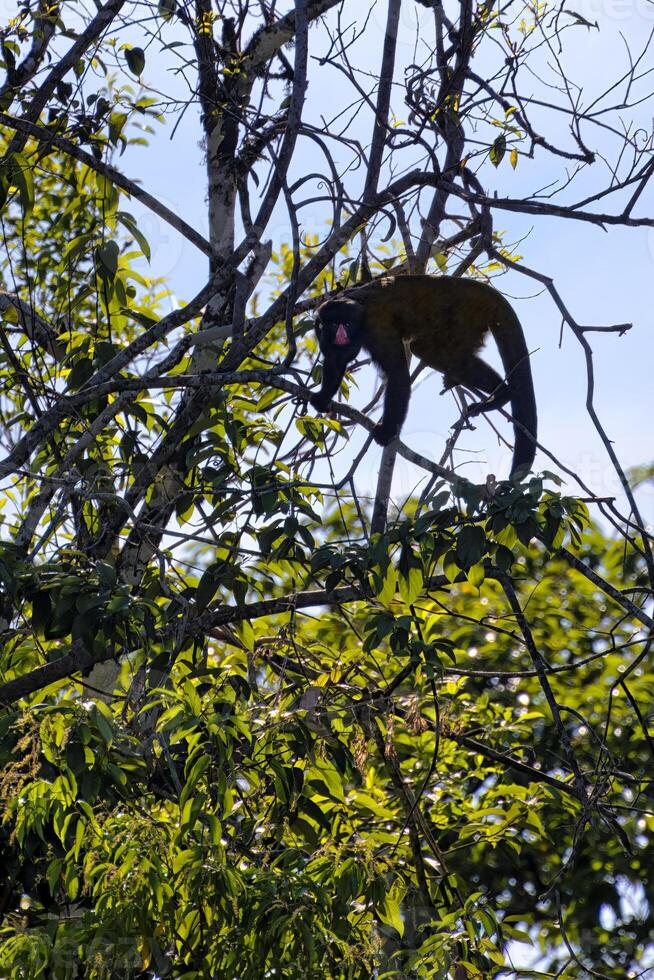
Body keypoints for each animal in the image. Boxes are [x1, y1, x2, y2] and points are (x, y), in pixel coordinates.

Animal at [310, 276, 540, 478]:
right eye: (334, 325)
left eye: (347, 325)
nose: (341, 335)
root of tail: (482, 290)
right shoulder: (321, 329)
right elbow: (336, 360)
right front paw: (323, 397)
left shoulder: (375, 327)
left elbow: (398, 374)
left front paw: (387, 431)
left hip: (467, 316)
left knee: (427, 350)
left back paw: (502, 395)